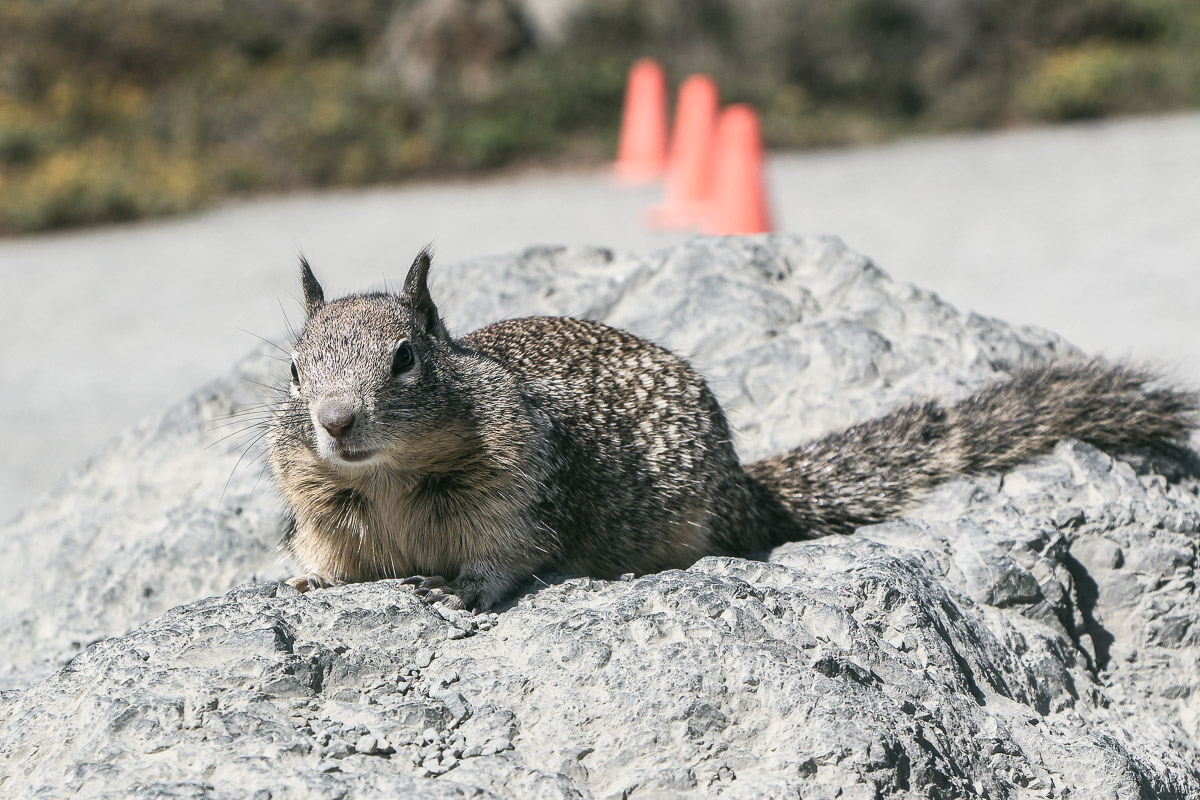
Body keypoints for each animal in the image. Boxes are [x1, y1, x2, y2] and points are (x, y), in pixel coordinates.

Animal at [272, 250, 1200, 614]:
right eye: (293, 371)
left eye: (405, 358)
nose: (336, 421)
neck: (387, 475)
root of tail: (741, 482)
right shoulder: (319, 507)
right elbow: (324, 554)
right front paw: (305, 582)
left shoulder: (516, 488)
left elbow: (507, 554)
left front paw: (463, 590)